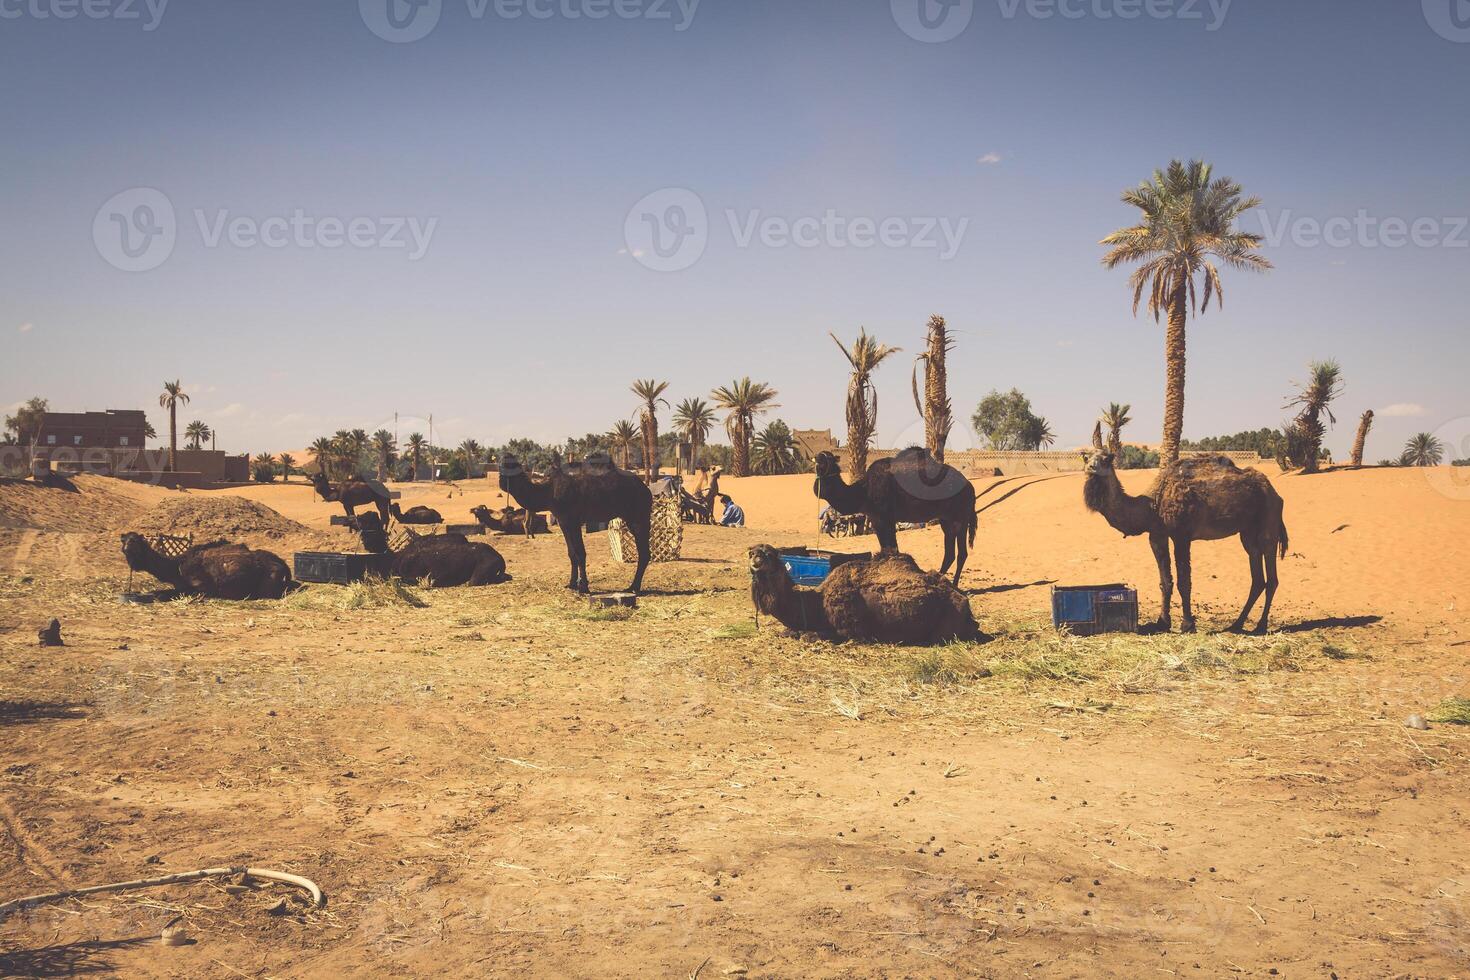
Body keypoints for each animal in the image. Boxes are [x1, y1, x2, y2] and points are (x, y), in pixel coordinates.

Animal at [122, 531, 294, 602]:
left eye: (135, 540)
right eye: (123, 540)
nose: (126, 548)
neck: (176, 566)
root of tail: (284, 565)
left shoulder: (200, 588)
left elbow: (163, 594)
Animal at [499, 455, 649, 599]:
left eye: (511, 465)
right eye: (501, 464)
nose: (501, 480)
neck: (548, 491)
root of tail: (645, 489)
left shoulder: (574, 521)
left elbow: (580, 553)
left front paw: (583, 588)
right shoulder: (564, 523)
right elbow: (572, 553)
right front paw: (571, 584)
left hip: (638, 518)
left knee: (644, 553)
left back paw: (633, 587)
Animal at [752, 543, 981, 643]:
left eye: (770, 554)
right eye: (751, 552)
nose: (756, 559)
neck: (817, 603)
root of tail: (964, 602)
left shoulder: (852, 631)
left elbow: (813, 635)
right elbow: (790, 631)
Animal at [817, 449, 976, 587]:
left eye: (825, 462)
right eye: (817, 461)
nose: (818, 481)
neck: (864, 490)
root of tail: (970, 486)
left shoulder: (882, 518)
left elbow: (889, 549)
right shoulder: (882, 519)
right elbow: (890, 549)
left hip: (961, 517)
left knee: (962, 553)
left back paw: (953, 584)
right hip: (946, 520)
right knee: (950, 552)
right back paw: (940, 578)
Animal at [1081, 452, 1287, 637]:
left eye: (1106, 459)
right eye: (1086, 457)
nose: (1091, 467)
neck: (1152, 505)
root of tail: (1275, 492)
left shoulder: (1181, 535)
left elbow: (1184, 582)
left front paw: (1187, 625)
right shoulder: (1157, 536)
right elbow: (1165, 581)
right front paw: (1162, 622)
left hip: (1269, 519)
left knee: (1271, 574)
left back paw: (1260, 626)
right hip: (1247, 531)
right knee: (1257, 575)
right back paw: (1236, 624)